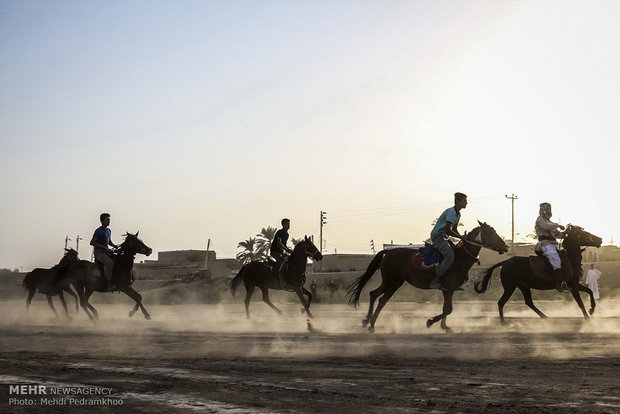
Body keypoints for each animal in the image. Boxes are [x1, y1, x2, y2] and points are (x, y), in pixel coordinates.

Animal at [348, 220, 508, 334]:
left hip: (396, 282)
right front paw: (430, 322)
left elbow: (446, 308)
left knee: (379, 298)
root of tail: (388, 252)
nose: (506, 247)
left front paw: (445, 326)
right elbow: (448, 309)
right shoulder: (448, 288)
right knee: (376, 295)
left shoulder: (448, 290)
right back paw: (370, 323)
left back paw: (369, 322)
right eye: (491, 232)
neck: (459, 258)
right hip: (390, 280)